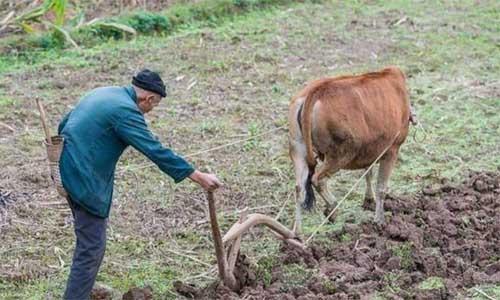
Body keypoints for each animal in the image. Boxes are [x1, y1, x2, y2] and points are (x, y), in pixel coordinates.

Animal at [288, 67, 412, 233]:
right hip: (339, 155)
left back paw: (298, 232)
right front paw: (379, 221)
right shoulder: (392, 150)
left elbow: (368, 174)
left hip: (298, 149)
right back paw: (332, 209)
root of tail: (316, 92)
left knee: (299, 188)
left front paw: (369, 201)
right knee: (318, 179)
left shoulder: (372, 149)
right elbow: (381, 187)